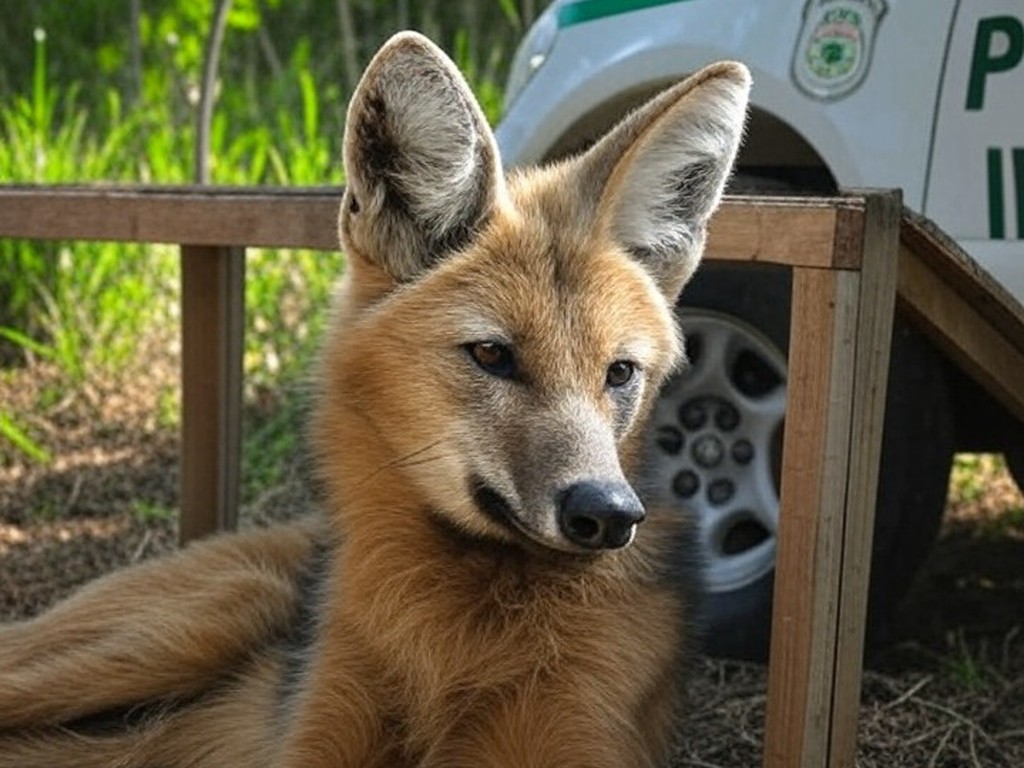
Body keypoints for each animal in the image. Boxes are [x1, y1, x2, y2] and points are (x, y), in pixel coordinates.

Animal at [0, 32, 749, 768]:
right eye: (492, 355)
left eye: (619, 373)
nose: (608, 513)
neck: (457, 645)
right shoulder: (318, 740)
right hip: (196, 620)